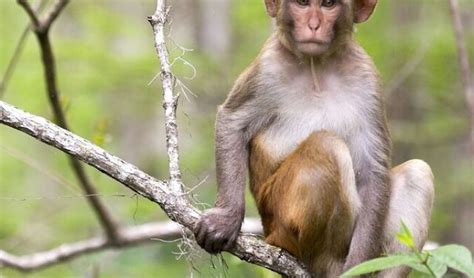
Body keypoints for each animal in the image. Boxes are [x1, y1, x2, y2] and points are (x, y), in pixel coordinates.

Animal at [193, 0, 434, 276]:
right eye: (302, 3)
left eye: (328, 4)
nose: (314, 25)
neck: (315, 67)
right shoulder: (267, 67)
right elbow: (232, 121)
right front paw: (226, 219)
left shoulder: (368, 79)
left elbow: (374, 169)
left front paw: (356, 268)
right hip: (279, 216)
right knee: (327, 146)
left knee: (417, 173)